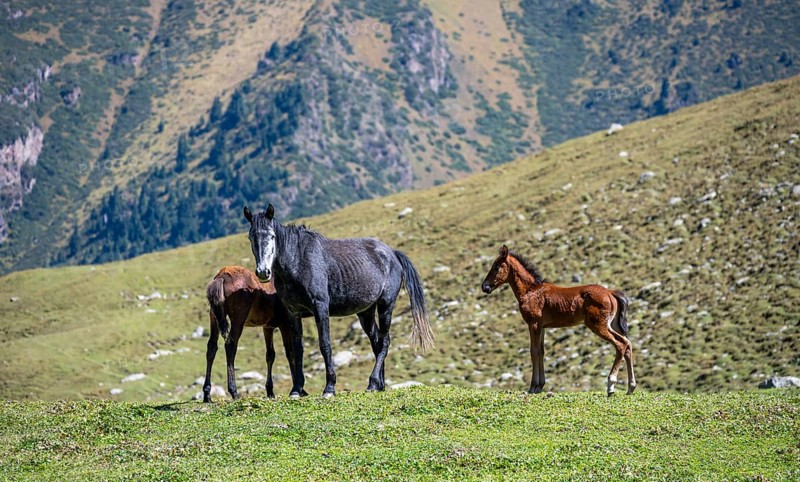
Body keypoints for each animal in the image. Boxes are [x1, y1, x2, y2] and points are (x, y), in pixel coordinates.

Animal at [203, 265, 307, 402]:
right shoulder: (285, 324)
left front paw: (270, 391)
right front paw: (300, 390)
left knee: (211, 347)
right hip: (238, 319)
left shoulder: (268, 327)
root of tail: (221, 277)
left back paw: (207, 395)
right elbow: (290, 354)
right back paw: (234, 392)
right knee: (230, 346)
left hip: (213, 317)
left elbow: (270, 355)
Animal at [243, 204, 435, 398]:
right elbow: (298, 348)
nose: (263, 272)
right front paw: (296, 389)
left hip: (385, 305)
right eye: (251, 237)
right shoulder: (293, 313)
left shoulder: (320, 308)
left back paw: (372, 383)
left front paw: (329, 388)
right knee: (377, 342)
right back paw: (379, 385)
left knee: (384, 342)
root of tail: (392, 253)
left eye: (272, 236)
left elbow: (325, 345)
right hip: (366, 313)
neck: (298, 260)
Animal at [481, 245, 636, 396]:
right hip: (612, 325)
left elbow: (534, 351)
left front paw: (533, 387)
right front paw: (540, 386)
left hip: (598, 325)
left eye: (496, 267)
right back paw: (631, 387)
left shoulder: (533, 324)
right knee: (627, 344)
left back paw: (611, 385)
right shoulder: (542, 327)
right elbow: (541, 351)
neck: (530, 291)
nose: (485, 287)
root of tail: (611, 293)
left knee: (620, 344)